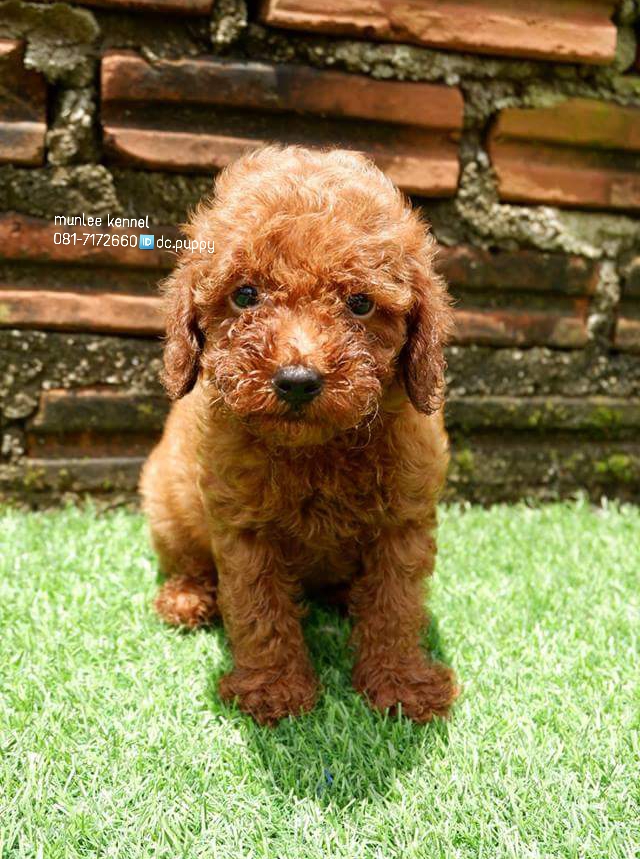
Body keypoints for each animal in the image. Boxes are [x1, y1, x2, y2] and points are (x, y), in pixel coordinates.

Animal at [140, 145, 458, 725]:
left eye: (360, 303)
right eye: (246, 295)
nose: (297, 379)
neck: (316, 450)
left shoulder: (402, 523)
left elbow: (396, 607)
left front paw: (402, 685)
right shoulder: (244, 531)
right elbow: (259, 611)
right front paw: (275, 690)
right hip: (167, 504)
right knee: (188, 560)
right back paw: (187, 598)